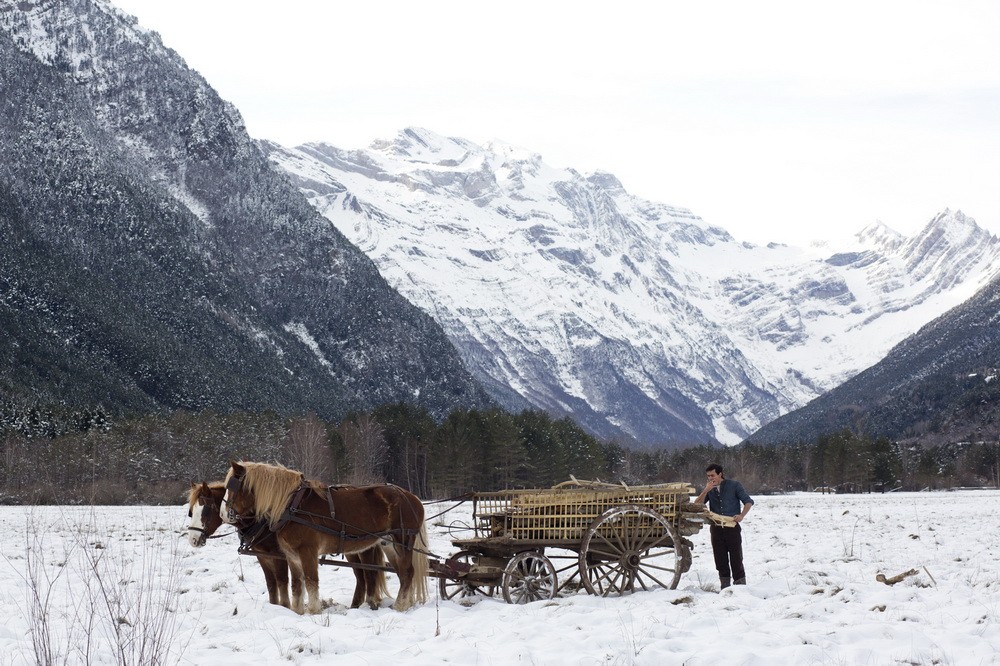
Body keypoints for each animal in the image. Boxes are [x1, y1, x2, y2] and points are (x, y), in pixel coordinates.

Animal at [188, 480, 390, 608]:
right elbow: (271, 583)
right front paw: (274, 605)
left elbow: (282, 581)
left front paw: (285, 606)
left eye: (205, 510)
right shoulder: (262, 556)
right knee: (361, 576)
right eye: (191, 511)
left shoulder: (280, 555)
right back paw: (357, 605)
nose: (193, 540)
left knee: (369, 573)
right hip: (351, 550)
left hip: (363, 548)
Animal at [221, 462, 428, 612]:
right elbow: (296, 585)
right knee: (398, 572)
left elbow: (311, 582)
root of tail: (412, 498)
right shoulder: (291, 555)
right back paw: (405, 603)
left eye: (233, 487)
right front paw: (297, 612)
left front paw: (313, 611)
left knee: (407, 572)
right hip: (388, 544)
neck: (291, 507)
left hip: (403, 540)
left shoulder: (307, 552)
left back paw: (400, 606)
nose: (223, 515)